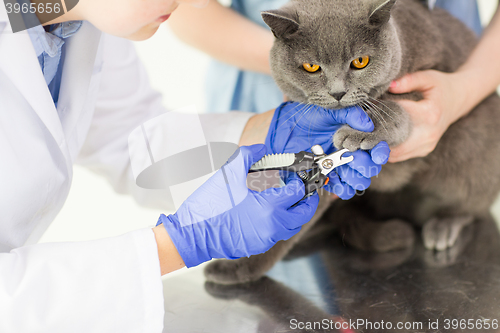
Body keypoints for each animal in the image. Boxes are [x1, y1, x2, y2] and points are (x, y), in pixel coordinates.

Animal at [205, 0, 500, 282]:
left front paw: (359, 132)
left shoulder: (423, 83)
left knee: (470, 204)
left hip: (472, 150)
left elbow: (391, 109)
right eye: (311, 66)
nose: (338, 92)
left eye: (360, 61)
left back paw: (445, 225)